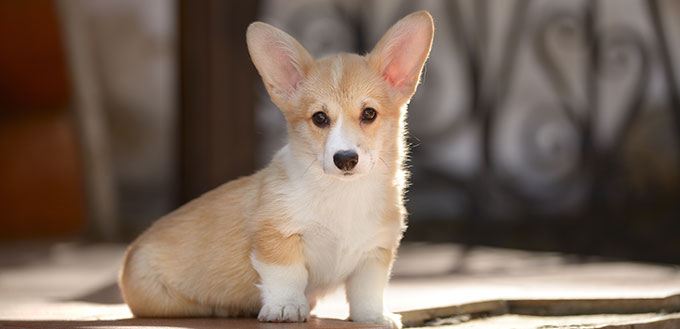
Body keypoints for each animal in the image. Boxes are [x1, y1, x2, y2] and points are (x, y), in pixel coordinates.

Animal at [119, 10, 432, 328]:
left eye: (369, 113)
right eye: (319, 118)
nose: (345, 159)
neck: (343, 193)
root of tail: (128, 257)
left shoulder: (375, 252)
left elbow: (367, 289)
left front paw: (373, 317)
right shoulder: (277, 235)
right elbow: (288, 275)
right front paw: (286, 308)